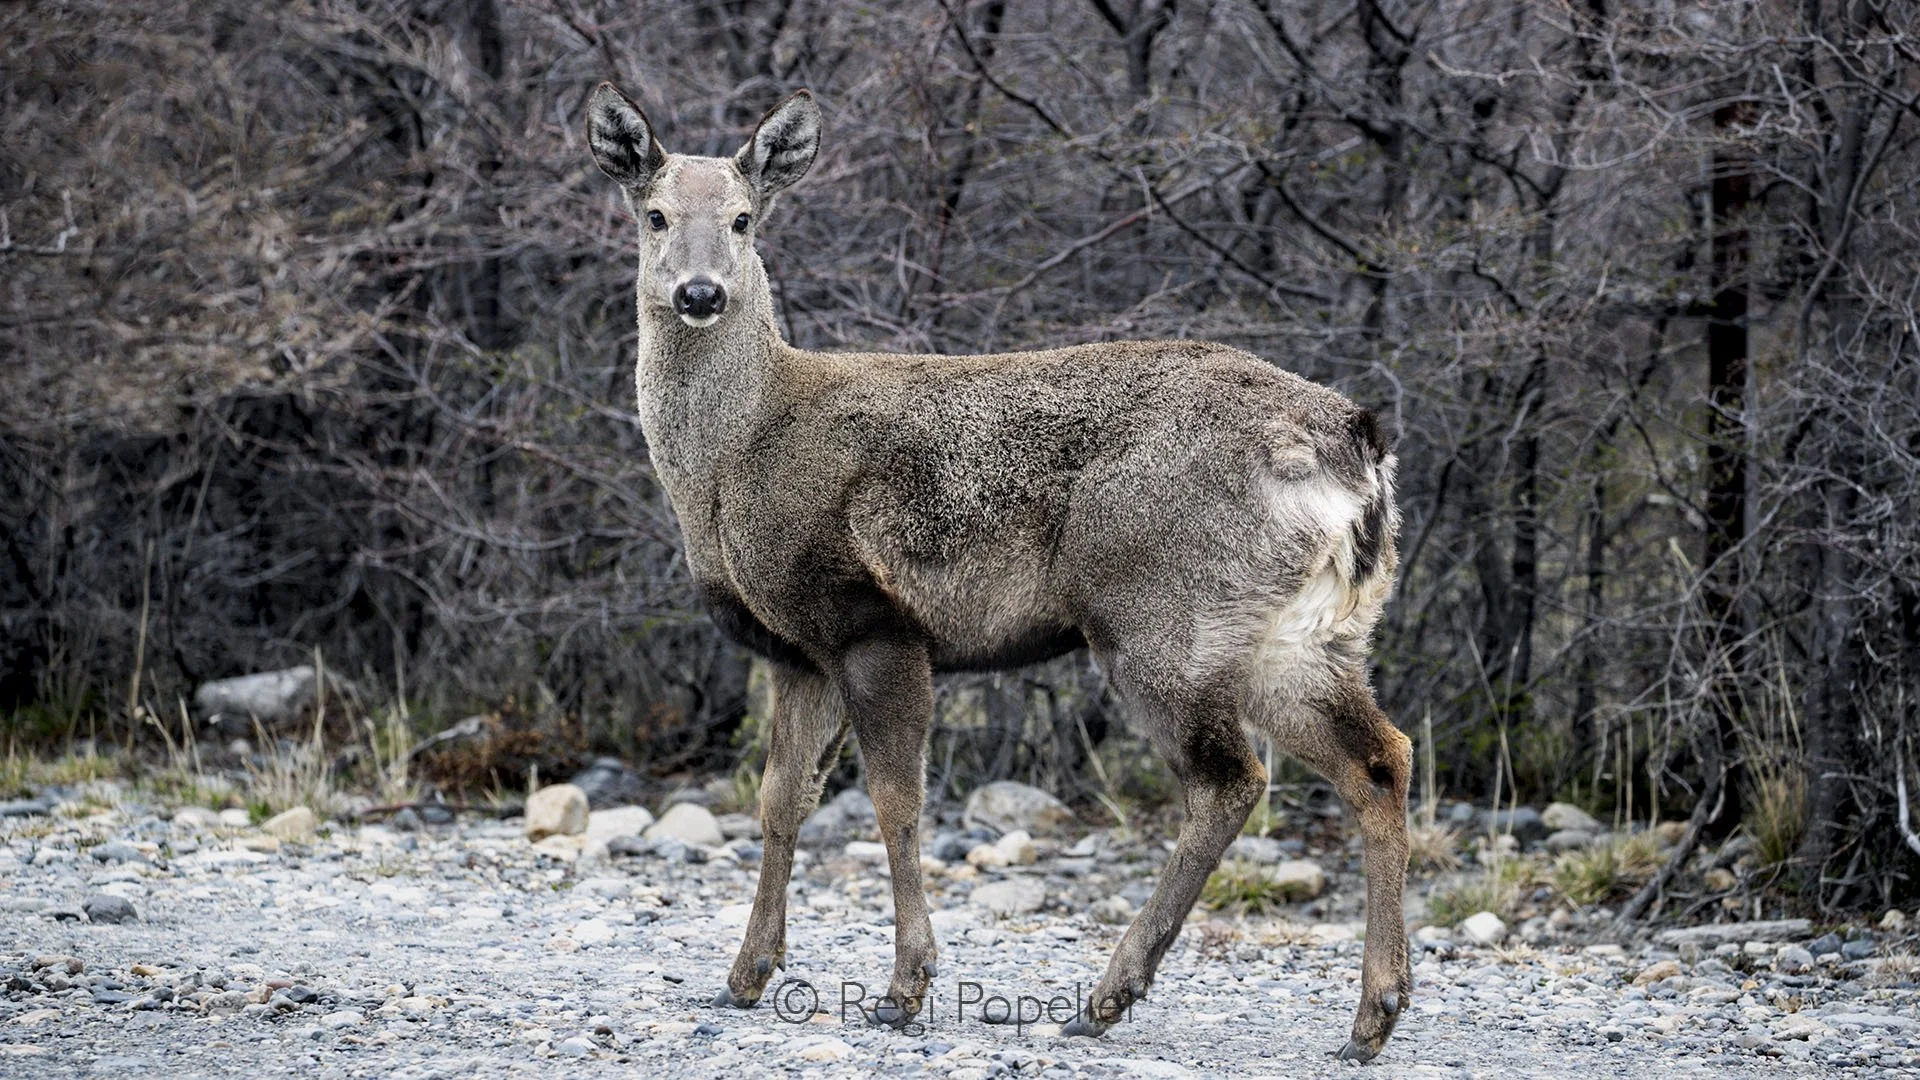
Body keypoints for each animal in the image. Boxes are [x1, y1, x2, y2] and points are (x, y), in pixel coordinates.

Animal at [586, 82, 1413, 1063]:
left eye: (745, 219)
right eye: (655, 215)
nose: (701, 292)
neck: (733, 459)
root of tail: (1355, 447)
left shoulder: (872, 620)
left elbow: (896, 802)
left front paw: (904, 987)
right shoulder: (794, 650)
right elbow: (781, 801)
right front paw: (747, 974)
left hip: (1162, 616)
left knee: (1232, 780)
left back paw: (1107, 996)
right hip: (1302, 635)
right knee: (1381, 759)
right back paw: (1373, 1014)